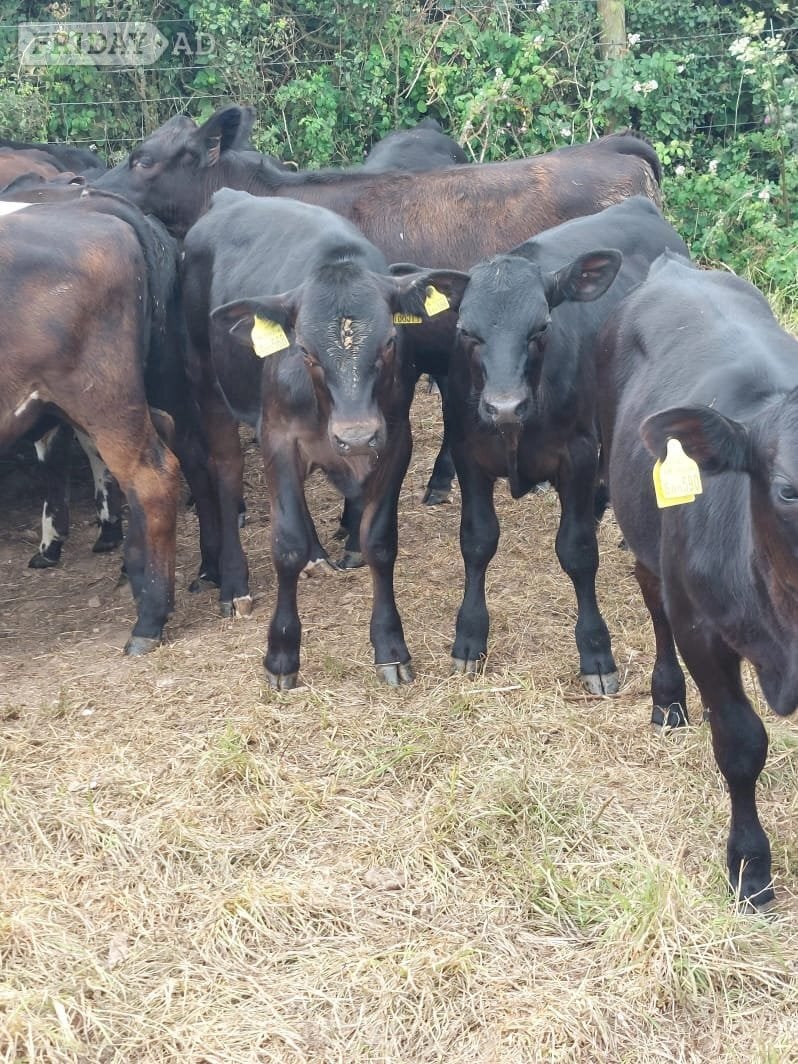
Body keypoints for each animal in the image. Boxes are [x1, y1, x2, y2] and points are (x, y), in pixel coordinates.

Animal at [182, 188, 468, 687]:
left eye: (390, 341)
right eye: (305, 350)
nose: (355, 436)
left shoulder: (395, 439)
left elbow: (379, 542)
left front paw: (390, 647)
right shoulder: (277, 438)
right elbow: (287, 544)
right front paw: (281, 655)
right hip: (208, 388)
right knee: (226, 474)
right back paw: (234, 584)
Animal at [432, 197, 690, 691]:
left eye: (541, 327)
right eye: (467, 331)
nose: (504, 406)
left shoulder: (578, 453)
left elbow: (577, 550)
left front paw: (596, 652)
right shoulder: (467, 454)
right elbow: (477, 541)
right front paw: (469, 637)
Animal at [596, 250, 798, 907]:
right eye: (787, 489)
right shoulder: (704, 631)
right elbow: (741, 745)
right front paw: (750, 866)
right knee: (652, 596)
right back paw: (669, 698)